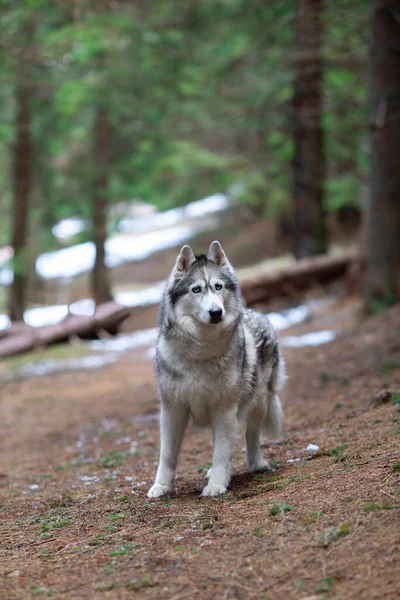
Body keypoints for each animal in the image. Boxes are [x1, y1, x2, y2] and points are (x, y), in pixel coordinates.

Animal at [147, 239, 284, 496]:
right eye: (196, 289)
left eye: (218, 287)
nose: (216, 312)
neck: (201, 351)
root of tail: (258, 313)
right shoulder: (172, 410)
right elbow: (167, 454)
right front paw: (161, 487)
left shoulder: (224, 410)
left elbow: (221, 451)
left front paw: (217, 485)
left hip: (258, 403)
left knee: (250, 437)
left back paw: (257, 464)